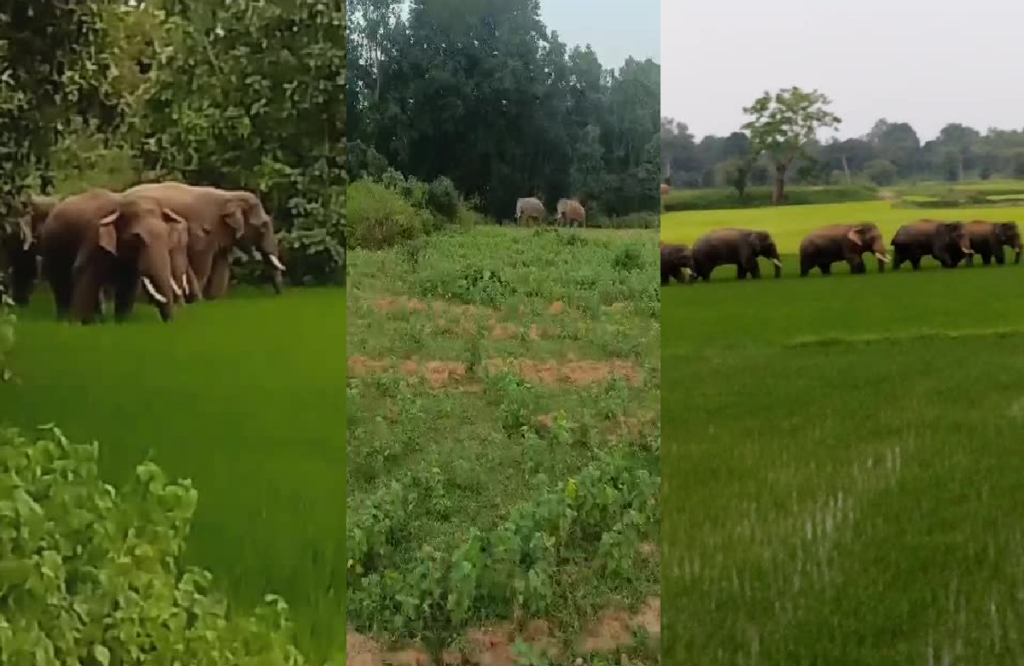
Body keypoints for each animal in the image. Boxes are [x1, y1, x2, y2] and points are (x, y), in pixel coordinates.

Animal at [39, 188, 186, 323]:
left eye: (167, 236)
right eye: (136, 237)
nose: (170, 324)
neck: (120, 204)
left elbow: (128, 285)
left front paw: (121, 323)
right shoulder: (94, 238)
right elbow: (84, 276)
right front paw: (74, 324)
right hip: (51, 248)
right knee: (61, 282)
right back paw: (66, 319)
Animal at [125, 182, 285, 301]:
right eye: (263, 226)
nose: (279, 294)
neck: (229, 195)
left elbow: (221, 265)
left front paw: (213, 298)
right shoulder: (203, 231)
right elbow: (202, 263)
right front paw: (200, 300)